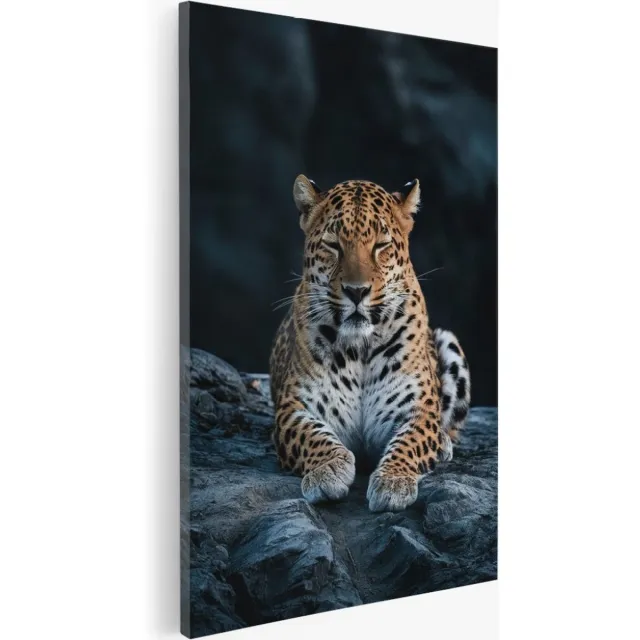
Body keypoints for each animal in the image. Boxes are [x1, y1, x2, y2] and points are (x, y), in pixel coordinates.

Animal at [269, 175, 471, 512]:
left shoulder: (417, 409)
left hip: (449, 342)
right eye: (333, 245)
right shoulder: (292, 408)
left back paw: (443, 444)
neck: (359, 348)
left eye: (381, 246)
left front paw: (394, 481)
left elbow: (409, 443)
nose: (356, 291)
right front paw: (328, 471)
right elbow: (313, 436)